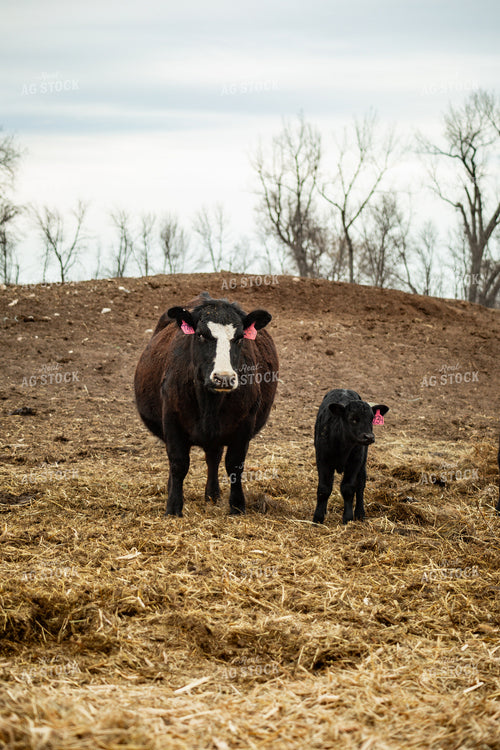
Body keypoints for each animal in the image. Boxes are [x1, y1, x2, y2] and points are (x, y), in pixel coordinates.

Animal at [134, 293, 278, 517]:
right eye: (201, 335)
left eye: (239, 337)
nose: (224, 378)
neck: (209, 404)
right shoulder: (171, 419)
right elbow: (178, 463)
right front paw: (173, 507)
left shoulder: (245, 422)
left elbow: (235, 465)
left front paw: (237, 506)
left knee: (213, 457)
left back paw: (212, 494)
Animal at [312, 389, 389, 524]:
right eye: (353, 419)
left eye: (371, 418)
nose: (369, 437)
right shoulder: (322, 459)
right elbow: (324, 488)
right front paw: (318, 517)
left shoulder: (355, 461)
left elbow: (348, 488)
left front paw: (348, 517)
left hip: (363, 460)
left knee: (361, 483)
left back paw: (360, 513)